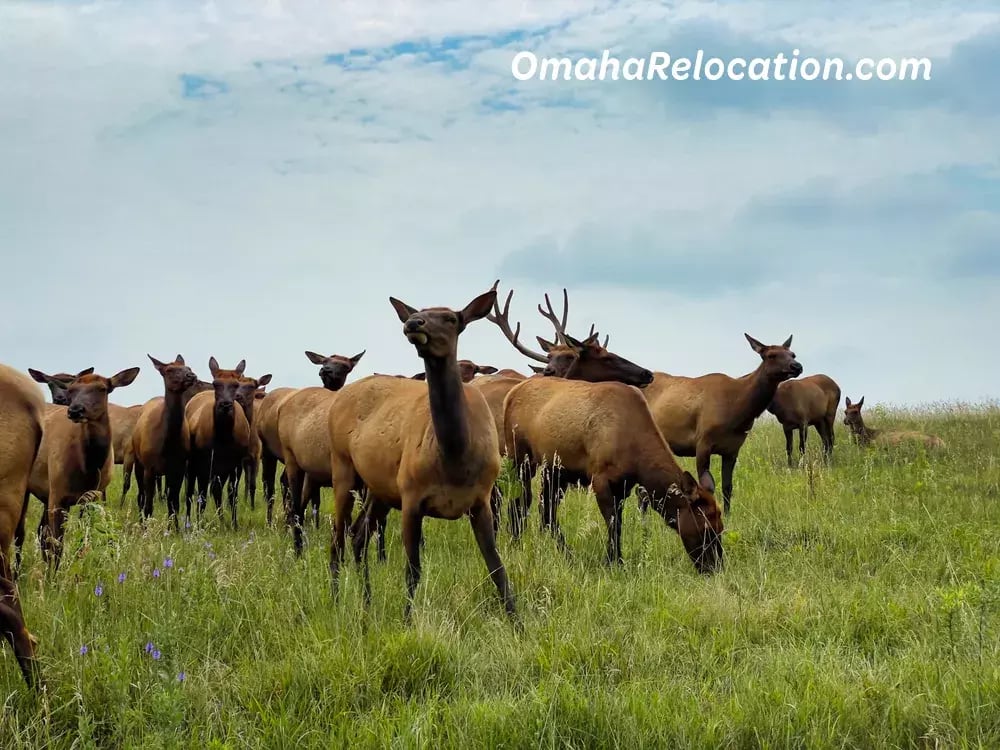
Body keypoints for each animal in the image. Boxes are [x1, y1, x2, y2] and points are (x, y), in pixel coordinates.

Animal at [25, 368, 140, 568]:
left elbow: (82, 541)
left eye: (102, 388)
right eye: (72, 390)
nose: (75, 410)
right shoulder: (57, 494)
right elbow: (57, 546)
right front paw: (52, 576)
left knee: (40, 532)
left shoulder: (90, 497)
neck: (88, 468)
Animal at [328, 288, 516, 624]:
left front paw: (518, 623)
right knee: (337, 540)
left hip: (379, 488)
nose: (414, 322)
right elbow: (412, 571)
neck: (455, 458)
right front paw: (407, 621)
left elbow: (497, 568)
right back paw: (338, 602)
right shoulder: (411, 496)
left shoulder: (481, 500)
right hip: (343, 467)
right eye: (419, 311)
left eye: (452, 318)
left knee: (358, 535)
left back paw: (367, 603)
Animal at [504, 378, 724, 572]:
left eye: (721, 528)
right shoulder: (600, 479)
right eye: (706, 529)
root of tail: (510, 394)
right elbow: (613, 524)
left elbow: (618, 523)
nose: (715, 567)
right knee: (521, 500)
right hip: (520, 458)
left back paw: (563, 552)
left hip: (555, 470)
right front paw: (613, 562)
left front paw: (615, 559)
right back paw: (517, 542)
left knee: (546, 508)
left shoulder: (623, 486)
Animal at [640, 336, 804, 516]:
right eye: (771, 355)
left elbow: (727, 486)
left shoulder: (732, 449)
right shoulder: (702, 442)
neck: (736, 412)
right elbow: (707, 486)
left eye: (793, 354)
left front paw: (728, 514)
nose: (797, 366)